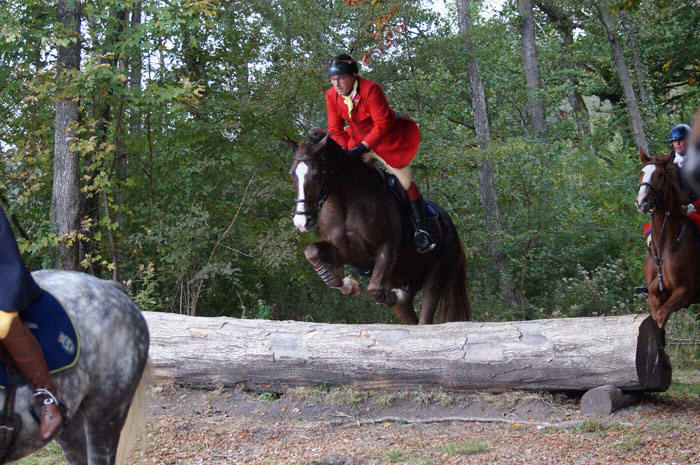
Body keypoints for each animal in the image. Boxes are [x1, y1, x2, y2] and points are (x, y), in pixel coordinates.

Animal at [289, 131, 470, 324]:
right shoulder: (343, 252)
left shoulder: (387, 248)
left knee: (425, 312)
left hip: (437, 271)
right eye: (292, 174)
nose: (301, 221)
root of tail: (448, 222)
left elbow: (374, 291)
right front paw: (347, 285)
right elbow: (312, 252)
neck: (344, 200)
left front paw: (395, 295)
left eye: (316, 174)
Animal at [636, 151, 700, 328]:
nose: (641, 202)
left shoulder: (684, 292)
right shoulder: (654, 296)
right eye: (641, 173)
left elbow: (661, 316)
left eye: (660, 175)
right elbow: (657, 319)